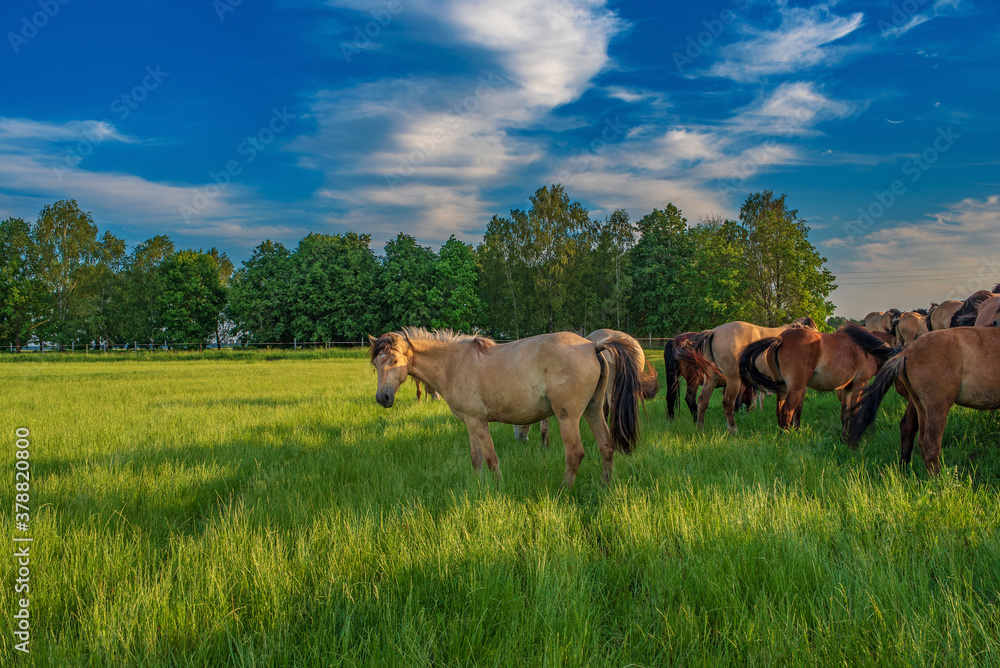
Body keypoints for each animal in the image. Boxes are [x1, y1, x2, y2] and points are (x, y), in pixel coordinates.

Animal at [676, 318, 816, 434]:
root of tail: (714, 331)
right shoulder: (799, 386)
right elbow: (797, 407)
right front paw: (796, 428)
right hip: (733, 380)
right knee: (728, 402)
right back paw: (733, 430)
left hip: (712, 378)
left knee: (702, 401)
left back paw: (700, 428)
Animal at [736, 324, 900, 440]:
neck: (865, 347)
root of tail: (780, 339)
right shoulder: (860, 384)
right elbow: (854, 413)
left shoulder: (847, 388)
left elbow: (845, 414)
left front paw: (843, 437)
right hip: (795, 388)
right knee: (787, 411)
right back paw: (787, 439)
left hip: (782, 388)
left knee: (779, 411)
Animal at [848, 324, 1000, 472]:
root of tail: (906, 351)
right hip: (937, 408)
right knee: (930, 443)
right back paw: (939, 478)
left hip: (921, 407)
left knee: (918, 439)